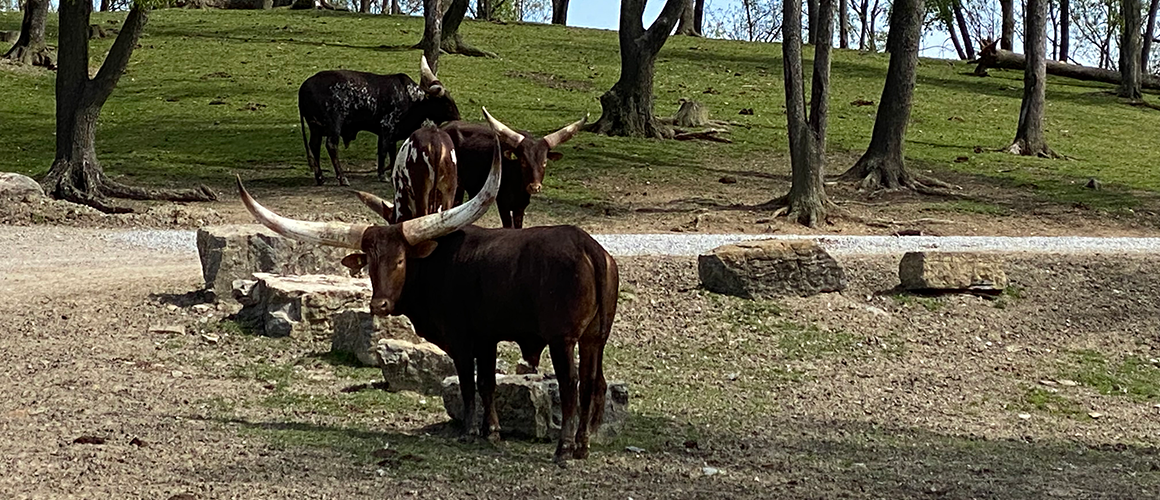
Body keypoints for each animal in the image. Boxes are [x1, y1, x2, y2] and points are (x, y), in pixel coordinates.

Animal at [298, 56, 460, 187]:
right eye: (446, 102)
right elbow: (382, 150)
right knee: (331, 145)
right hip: (334, 125)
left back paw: (320, 178)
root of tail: (304, 86)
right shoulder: (386, 127)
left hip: (315, 126)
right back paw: (342, 178)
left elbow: (392, 152)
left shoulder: (393, 133)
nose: (458, 118)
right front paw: (382, 175)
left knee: (314, 146)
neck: (412, 99)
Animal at [442, 111, 586, 228]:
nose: (534, 187)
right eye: (522, 161)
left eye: (544, 162)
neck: (518, 185)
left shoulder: (520, 206)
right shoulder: (503, 204)